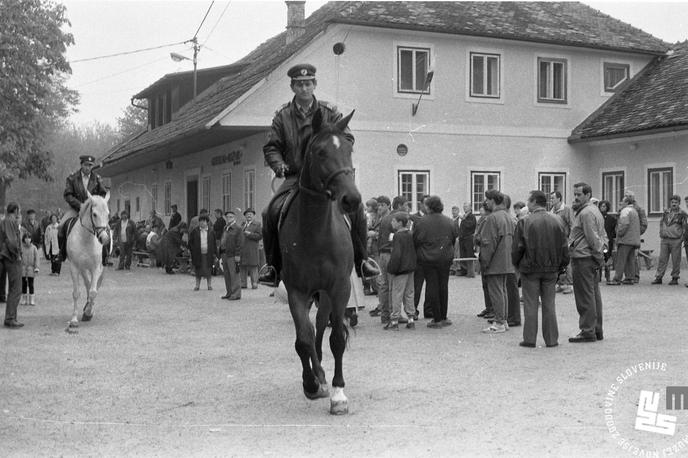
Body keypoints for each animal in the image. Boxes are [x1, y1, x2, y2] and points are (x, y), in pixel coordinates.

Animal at [67, 190, 111, 330]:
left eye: (108, 214)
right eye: (94, 214)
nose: (104, 239)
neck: (86, 239)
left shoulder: (96, 268)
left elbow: (93, 292)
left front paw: (88, 312)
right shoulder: (74, 267)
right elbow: (76, 293)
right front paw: (74, 320)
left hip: (100, 268)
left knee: (94, 286)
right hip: (82, 268)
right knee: (87, 283)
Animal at [278, 108, 358, 416]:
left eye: (349, 147)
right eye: (320, 151)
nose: (352, 199)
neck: (315, 231)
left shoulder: (339, 288)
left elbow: (335, 338)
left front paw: (338, 394)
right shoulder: (296, 291)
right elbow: (303, 338)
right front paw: (311, 384)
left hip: (325, 295)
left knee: (322, 328)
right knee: (312, 332)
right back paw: (318, 375)